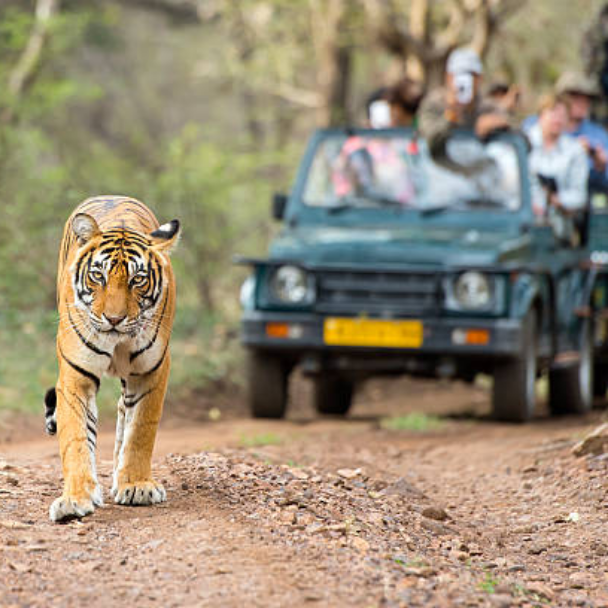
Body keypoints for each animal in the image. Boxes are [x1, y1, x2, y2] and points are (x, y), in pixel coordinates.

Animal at [44, 195, 179, 524]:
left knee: (123, 412)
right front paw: (75, 499)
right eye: (98, 276)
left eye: (137, 280)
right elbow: (76, 438)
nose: (114, 319)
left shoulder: (151, 372)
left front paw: (136, 485)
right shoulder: (75, 376)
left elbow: (141, 429)